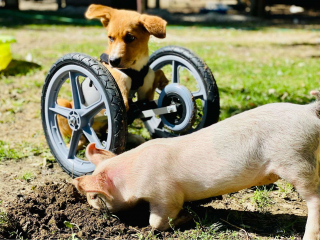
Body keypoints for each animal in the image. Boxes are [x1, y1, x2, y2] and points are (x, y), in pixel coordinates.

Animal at [74, 91, 320, 239]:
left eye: (94, 196)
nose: (90, 207)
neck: (132, 174)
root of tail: (307, 110)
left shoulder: (165, 195)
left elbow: (157, 221)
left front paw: (187, 218)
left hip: (296, 158)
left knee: (314, 198)